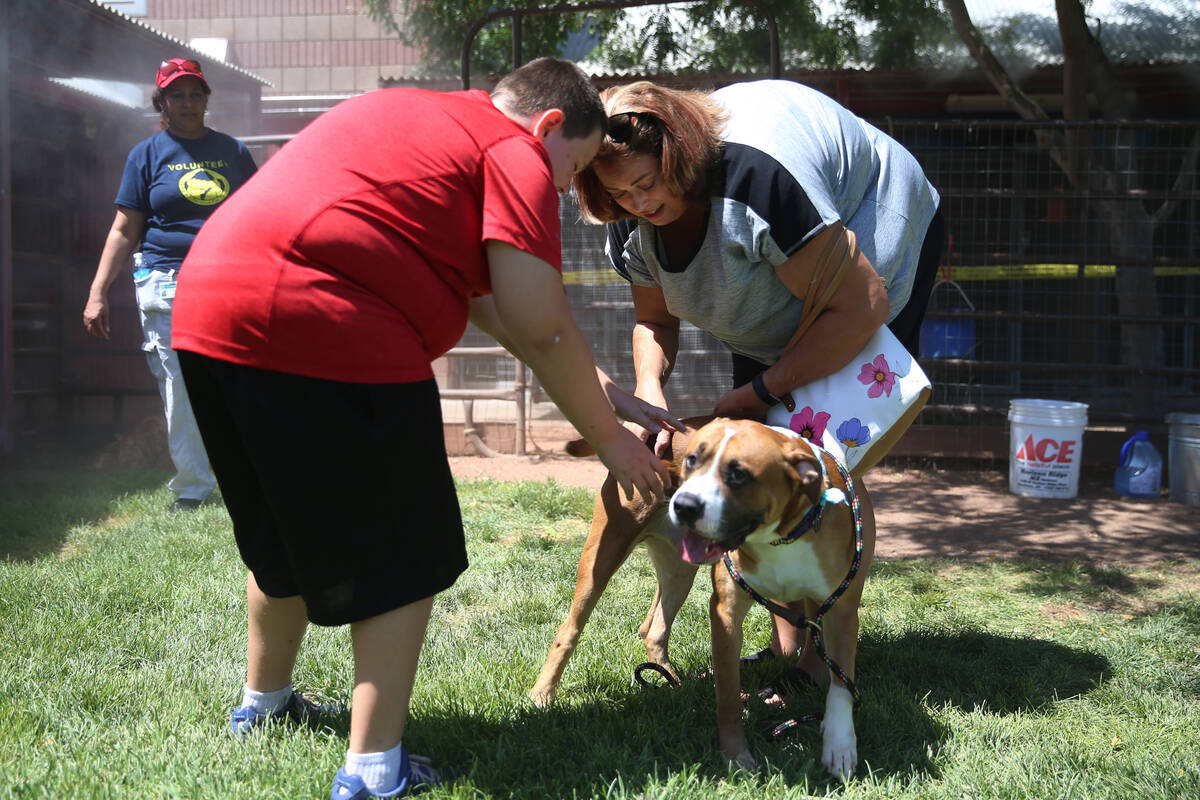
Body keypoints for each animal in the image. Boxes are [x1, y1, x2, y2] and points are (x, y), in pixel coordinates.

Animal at [530, 417, 878, 777]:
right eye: (692, 460)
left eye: (738, 474)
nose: (683, 504)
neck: (778, 536)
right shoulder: (725, 613)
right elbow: (727, 693)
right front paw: (736, 755)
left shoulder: (841, 612)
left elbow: (841, 685)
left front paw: (840, 744)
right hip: (604, 553)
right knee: (570, 628)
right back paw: (542, 693)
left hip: (679, 570)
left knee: (653, 629)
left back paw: (672, 683)